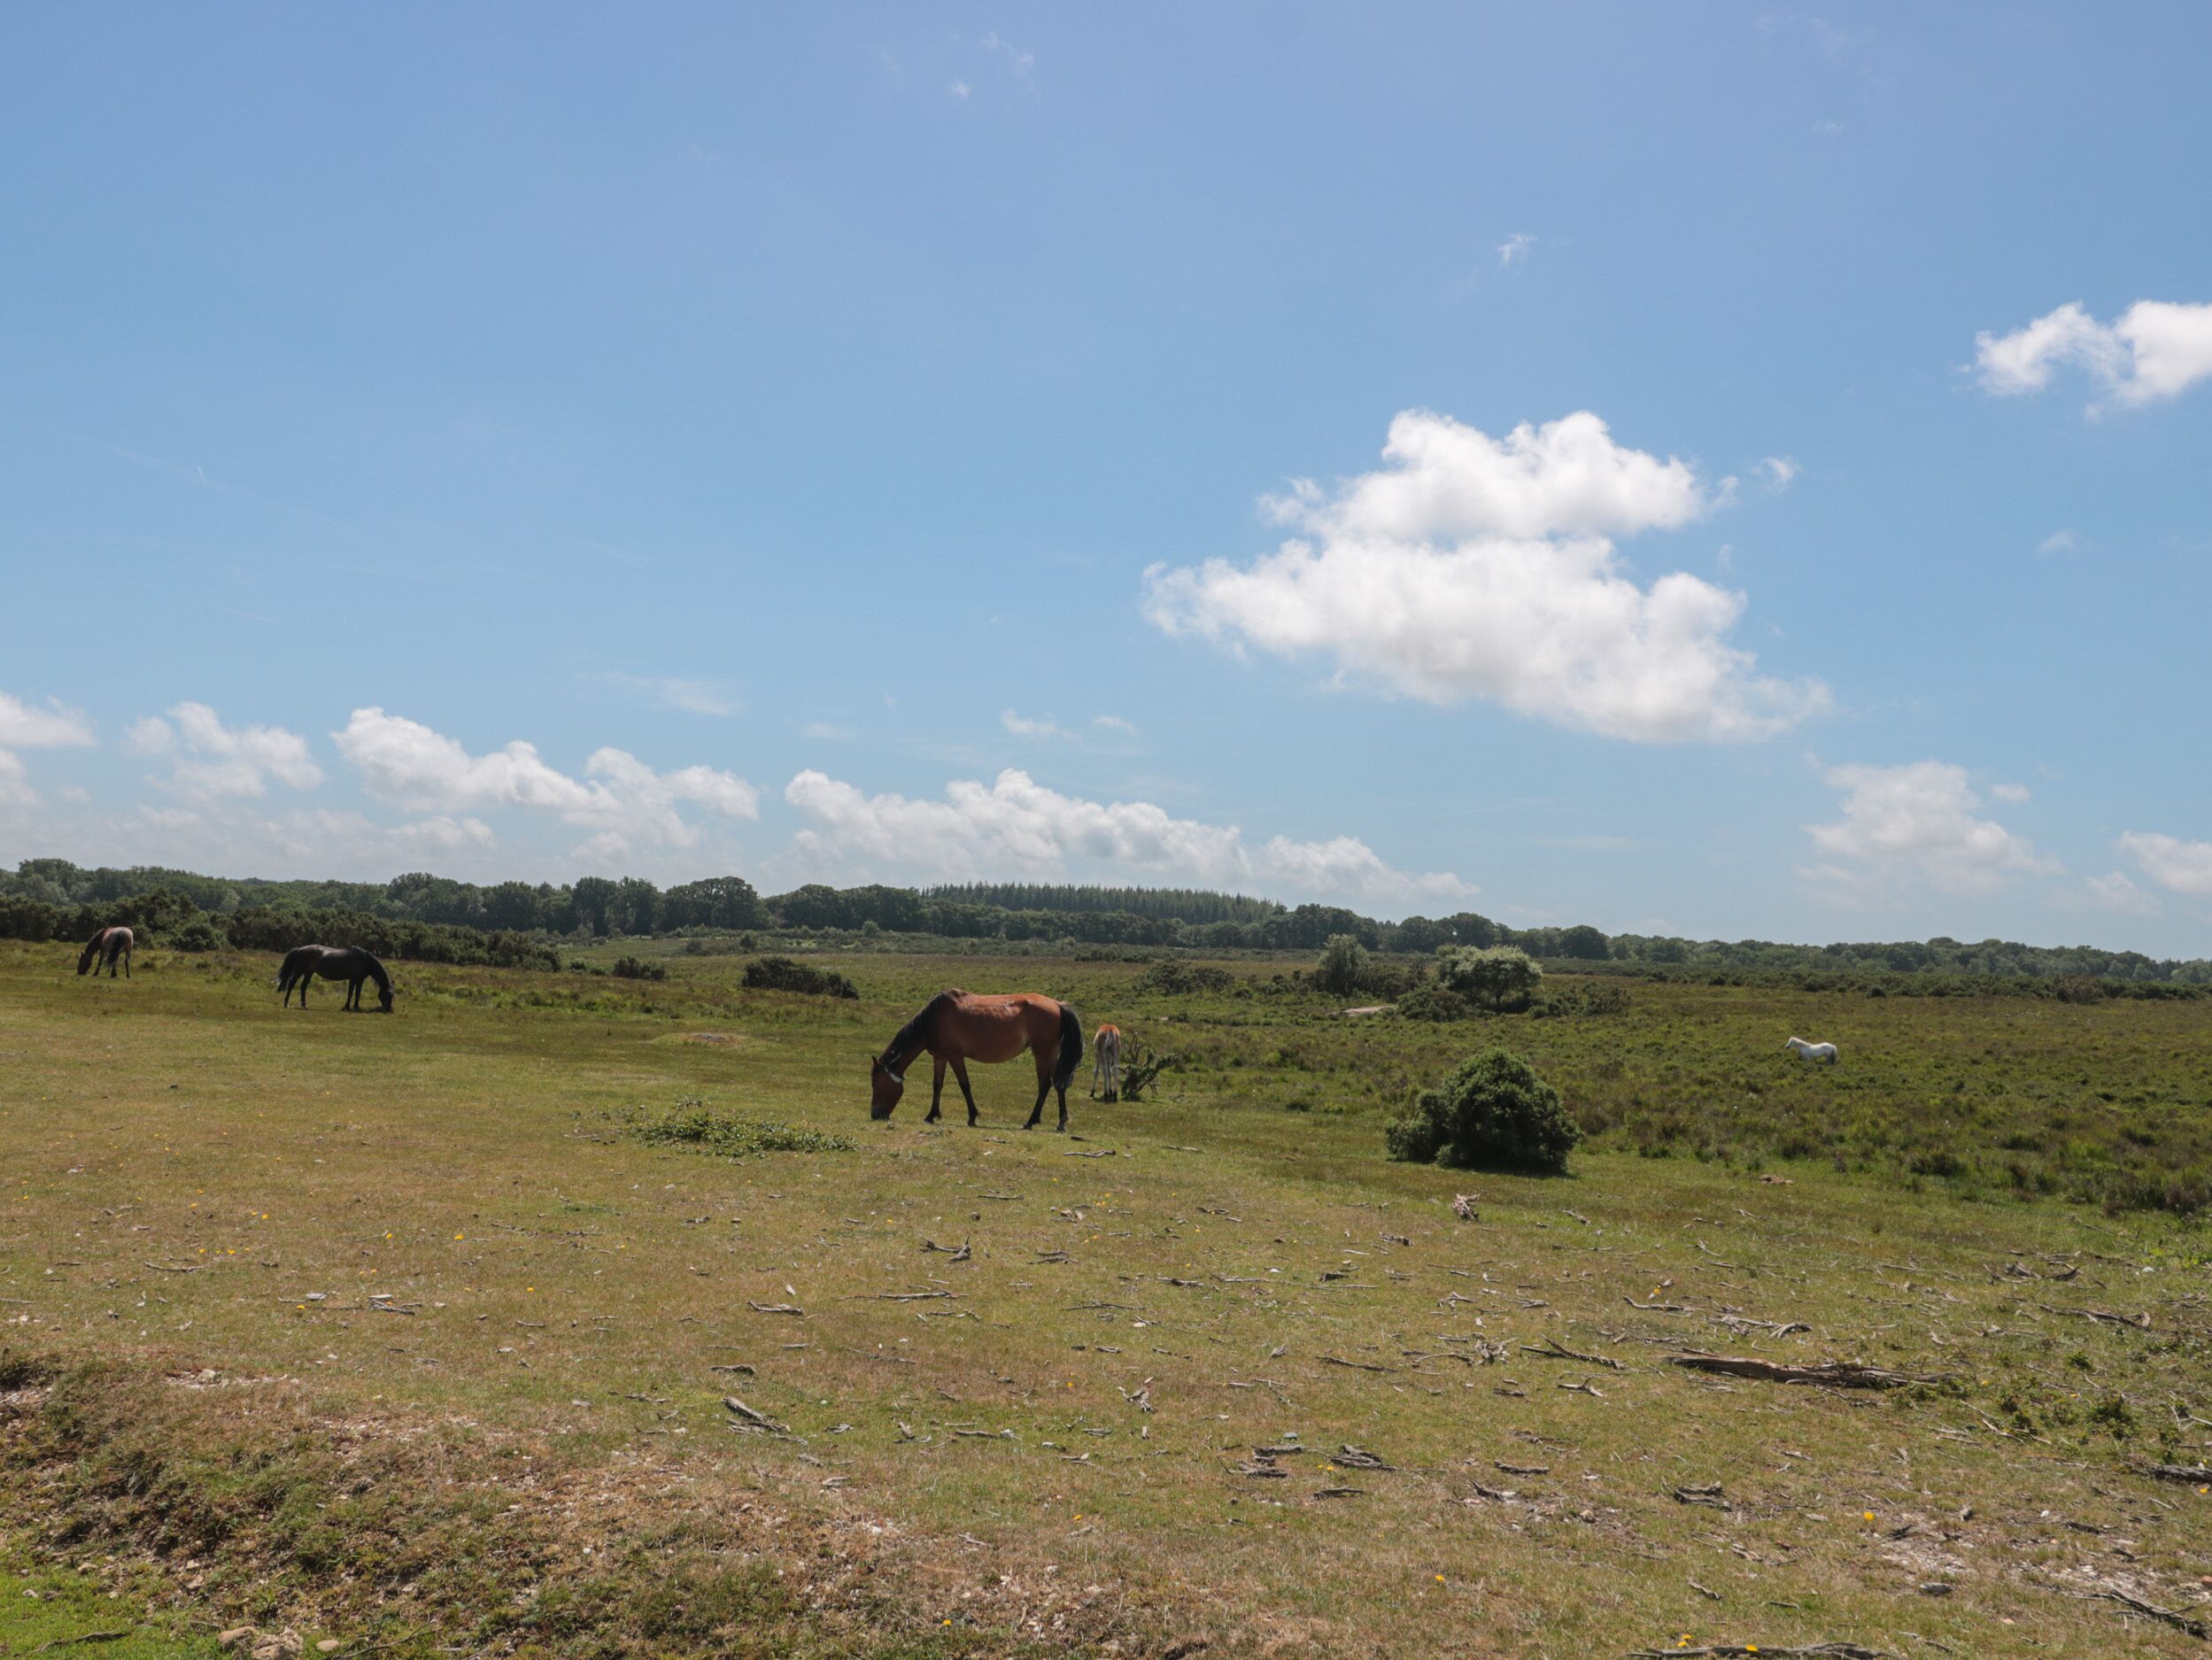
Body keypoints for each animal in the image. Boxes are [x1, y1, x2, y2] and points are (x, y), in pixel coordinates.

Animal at [278, 944, 395, 1012]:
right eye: (387, 995)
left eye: (392, 995)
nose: (389, 1010)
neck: (365, 959)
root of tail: (299, 949)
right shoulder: (353, 979)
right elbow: (350, 993)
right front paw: (346, 1007)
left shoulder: (360, 980)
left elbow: (358, 994)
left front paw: (356, 1007)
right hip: (299, 971)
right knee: (291, 985)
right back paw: (286, 1004)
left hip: (309, 972)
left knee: (303, 987)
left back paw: (304, 1005)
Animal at [869, 990, 1084, 1131]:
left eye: (876, 1083)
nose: (875, 1115)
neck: (935, 1020)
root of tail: (1058, 1005)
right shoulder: (939, 1057)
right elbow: (937, 1085)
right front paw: (931, 1115)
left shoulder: (955, 1056)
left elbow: (964, 1085)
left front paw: (972, 1117)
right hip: (1052, 1053)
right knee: (1059, 1084)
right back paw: (1061, 1122)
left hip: (1042, 1053)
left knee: (1045, 1084)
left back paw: (1031, 1121)